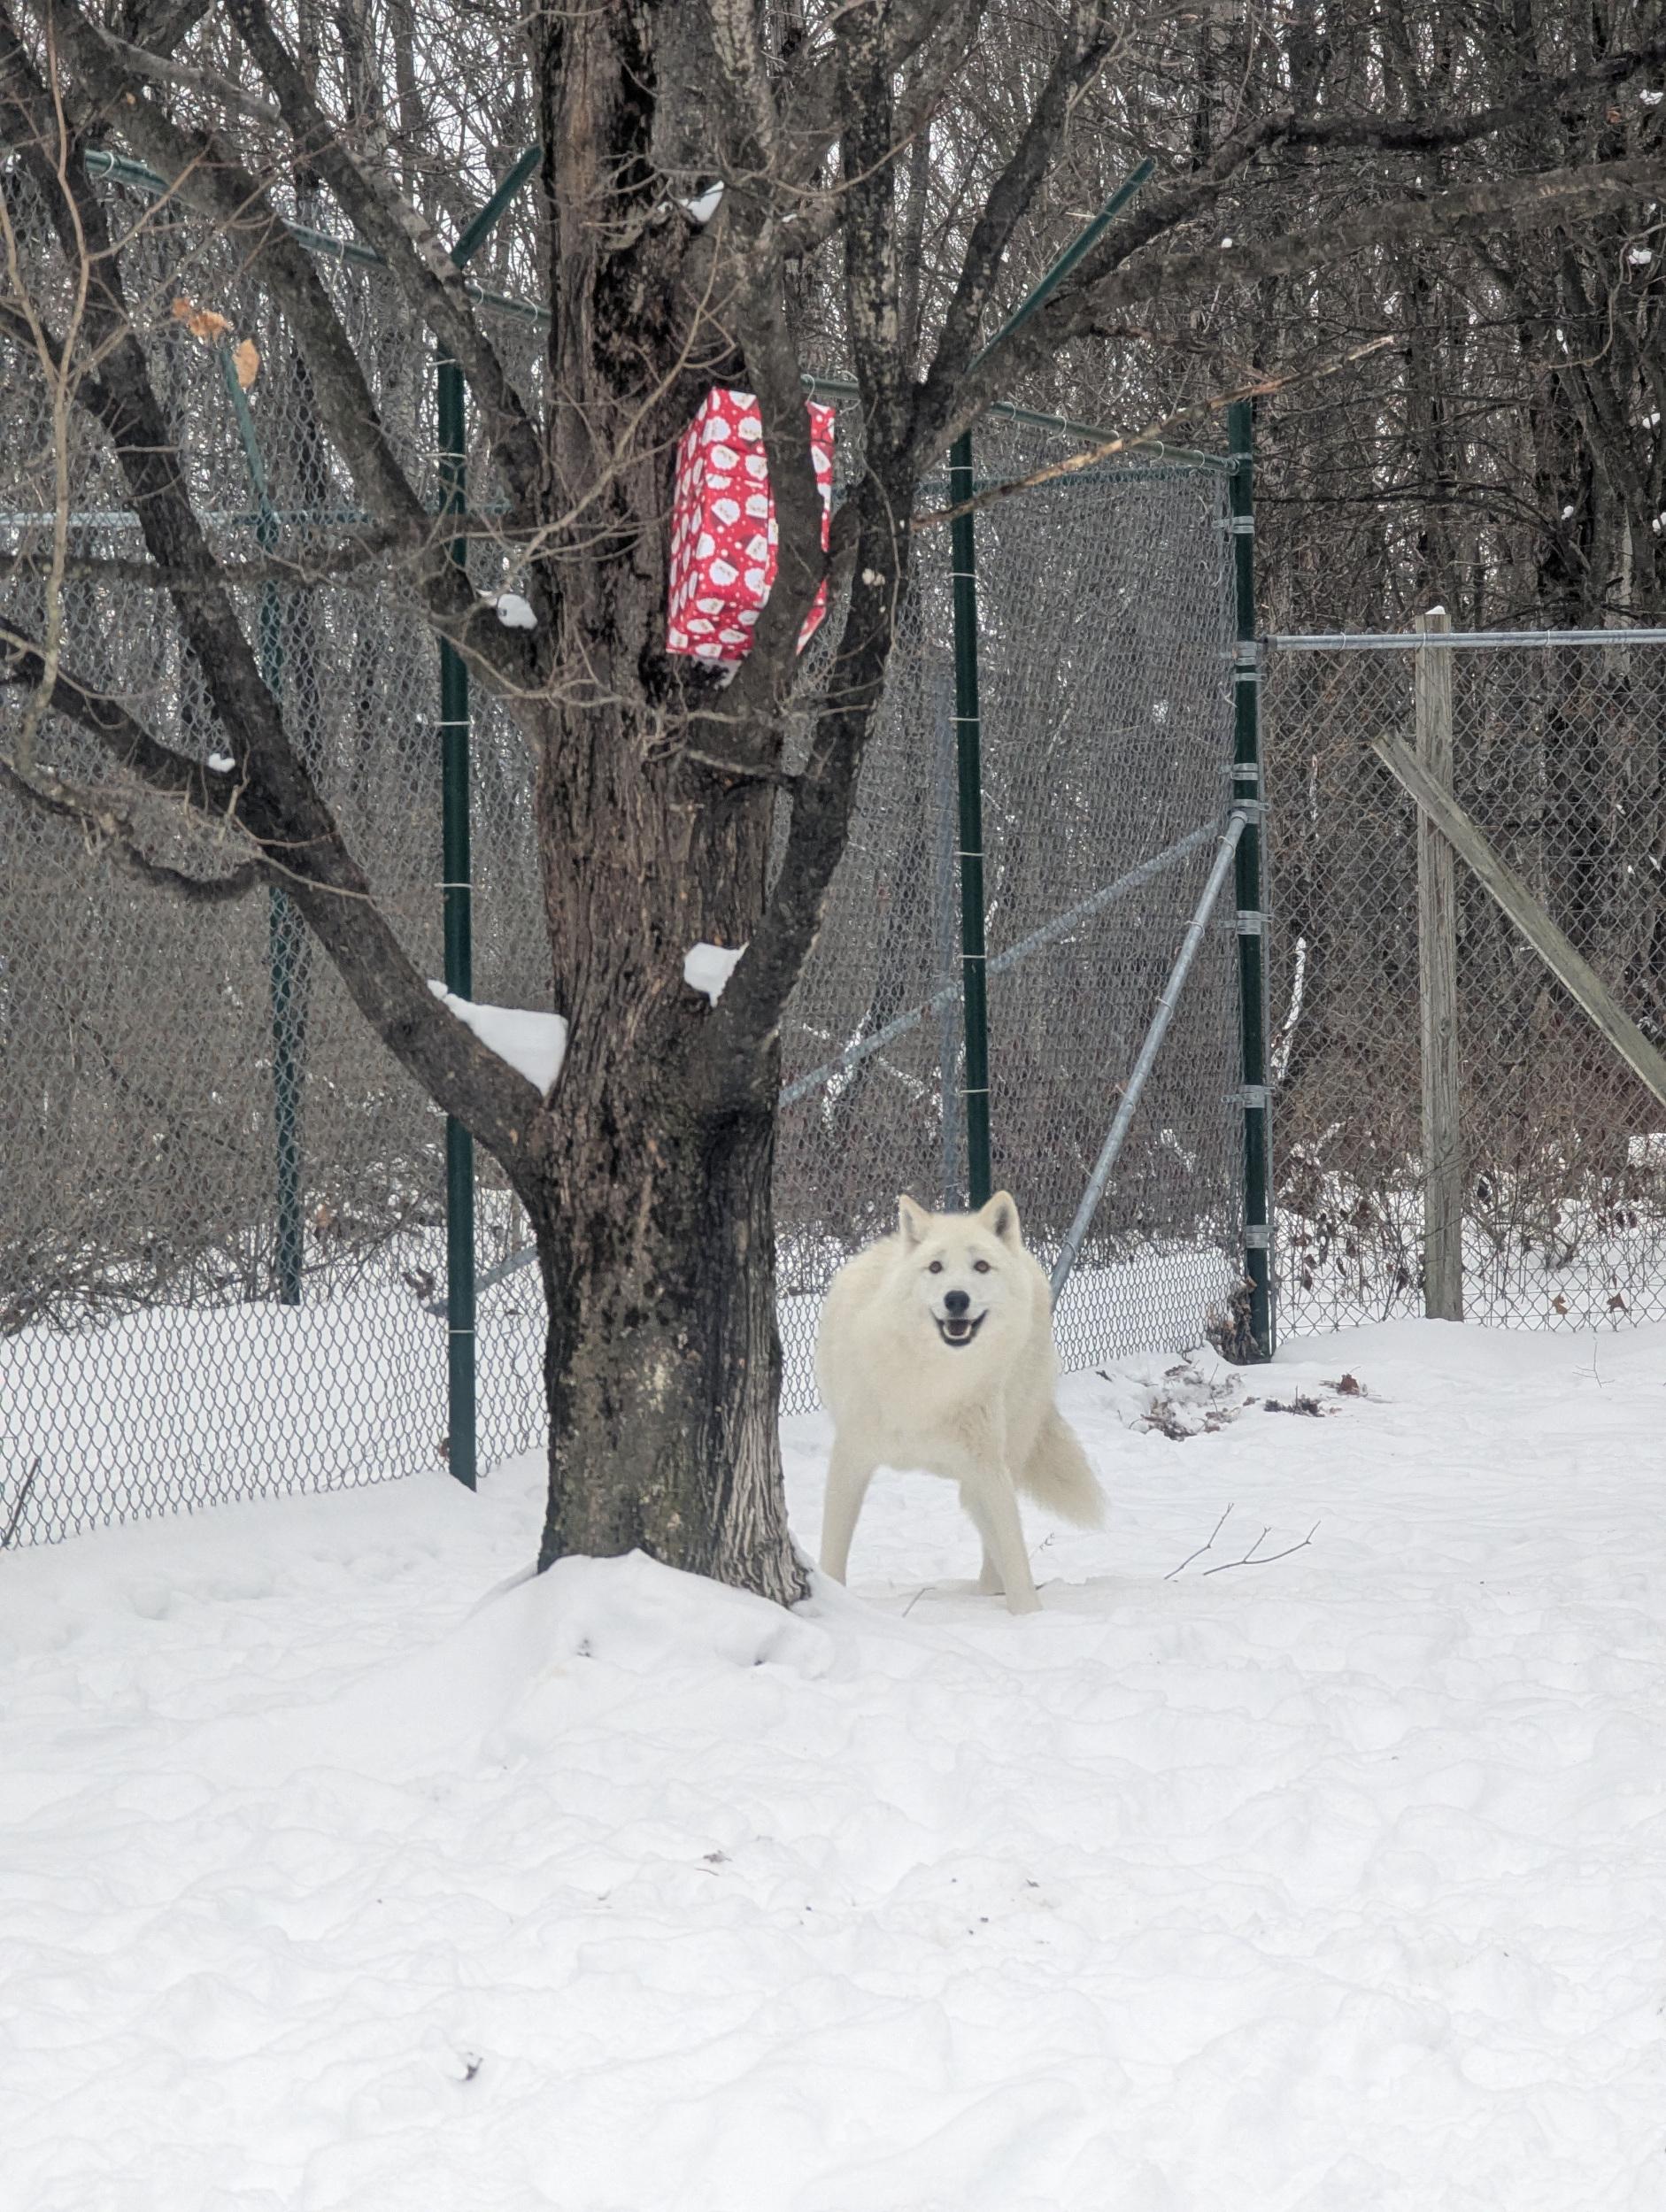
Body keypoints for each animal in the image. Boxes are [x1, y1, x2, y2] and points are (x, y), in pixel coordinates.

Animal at [814, 1191, 1104, 1613]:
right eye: (935, 1267)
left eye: (980, 1266)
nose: (956, 1298)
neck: (935, 1380)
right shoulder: (850, 1458)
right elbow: (832, 1556)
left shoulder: (989, 1467)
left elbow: (1015, 1558)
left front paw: (1029, 1617)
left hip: (1004, 1455)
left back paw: (989, 1592)